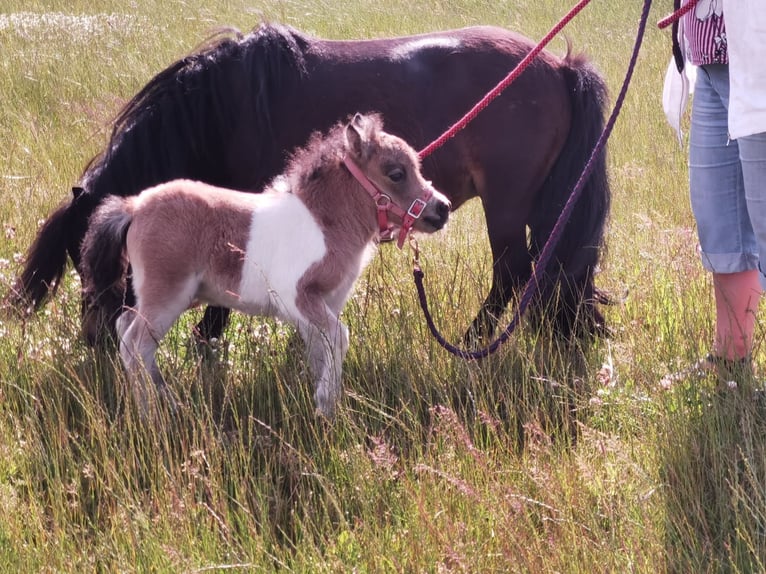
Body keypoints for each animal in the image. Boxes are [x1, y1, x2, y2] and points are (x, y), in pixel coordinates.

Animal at [10, 21, 612, 346]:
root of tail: (559, 68)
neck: (221, 107)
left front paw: (208, 336)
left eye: (96, 261)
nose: (96, 343)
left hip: (506, 205)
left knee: (511, 272)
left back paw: (471, 340)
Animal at [79, 113, 450, 418]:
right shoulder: (297, 297)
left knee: (126, 327)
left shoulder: (327, 302)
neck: (323, 223)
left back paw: (168, 403)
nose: (442, 209)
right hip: (166, 295)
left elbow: (321, 348)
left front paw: (322, 403)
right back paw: (152, 416)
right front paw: (326, 409)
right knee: (135, 344)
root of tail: (134, 206)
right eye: (396, 173)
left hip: (163, 296)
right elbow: (338, 338)